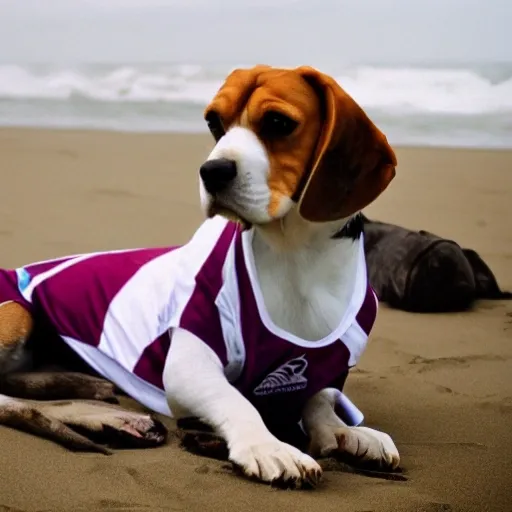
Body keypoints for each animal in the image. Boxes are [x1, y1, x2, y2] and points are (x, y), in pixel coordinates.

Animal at [0, 64, 400, 488]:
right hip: (16, 310)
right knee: (8, 400)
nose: (211, 171)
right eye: (214, 123)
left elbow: (319, 403)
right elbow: (237, 401)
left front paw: (344, 432)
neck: (295, 257)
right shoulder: (189, 364)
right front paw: (267, 445)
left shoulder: (327, 369)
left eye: (278, 123)